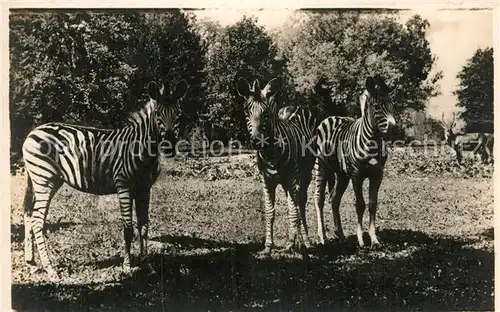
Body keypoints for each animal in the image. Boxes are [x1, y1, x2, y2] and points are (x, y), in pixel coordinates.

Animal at [20, 78, 188, 278]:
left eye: (178, 114)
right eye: (157, 114)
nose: (169, 147)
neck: (142, 149)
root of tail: (33, 132)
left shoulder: (144, 189)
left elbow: (144, 226)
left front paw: (147, 265)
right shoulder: (124, 186)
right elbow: (128, 229)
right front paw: (127, 267)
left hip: (45, 181)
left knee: (29, 214)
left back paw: (31, 262)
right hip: (44, 180)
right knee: (37, 220)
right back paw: (50, 269)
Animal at [236, 77, 318, 255]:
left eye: (266, 114)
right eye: (246, 112)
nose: (256, 141)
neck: (271, 154)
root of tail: (295, 106)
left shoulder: (292, 178)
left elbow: (294, 212)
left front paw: (296, 245)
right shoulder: (266, 180)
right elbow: (269, 211)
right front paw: (268, 247)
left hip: (304, 174)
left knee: (300, 203)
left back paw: (305, 241)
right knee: (293, 204)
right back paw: (295, 242)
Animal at [314, 75, 396, 249]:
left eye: (392, 104)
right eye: (377, 107)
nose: (393, 129)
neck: (372, 141)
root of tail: (331, 117)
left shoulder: (377, 174)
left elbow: (372, 204)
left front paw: (374, 239)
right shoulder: (357, 175)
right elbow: (360, 204)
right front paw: (361, 239)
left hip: (342, 175)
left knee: (334, 199)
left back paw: (340, 235)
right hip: (322, 166)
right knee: (319, 198)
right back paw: (323, 237)